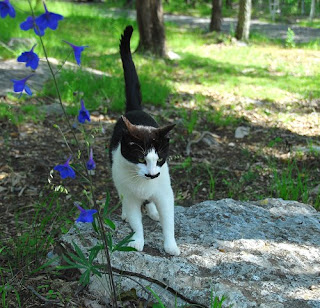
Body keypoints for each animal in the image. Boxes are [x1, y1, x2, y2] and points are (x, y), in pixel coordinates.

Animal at [109, 25, 180, 255]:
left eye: (159, 160)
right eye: (140, 159)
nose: (151, 174)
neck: (142, 184)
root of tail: (135, 109)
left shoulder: (165, 193)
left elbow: (169, 221)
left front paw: (171, 245)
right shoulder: (130, 195)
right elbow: (135, 221)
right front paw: (137, 240)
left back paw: (152, 210)